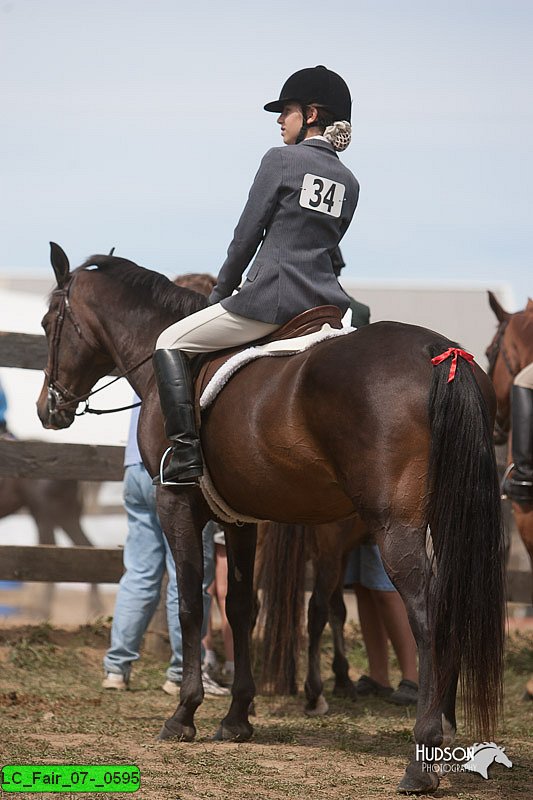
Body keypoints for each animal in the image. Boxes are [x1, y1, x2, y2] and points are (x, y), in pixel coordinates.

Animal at [36, 245, 502, 792]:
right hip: (443, 524)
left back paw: (421, 759)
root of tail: (441, 352)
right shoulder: (240, 520)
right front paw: (237, 717)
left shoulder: (177, 506)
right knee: (448, 601)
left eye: (47, 322)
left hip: (395, 528)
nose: (48, 409)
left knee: (425, 614)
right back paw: (445, 726)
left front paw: (184, 715)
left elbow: (190, 607)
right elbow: (240, 607)